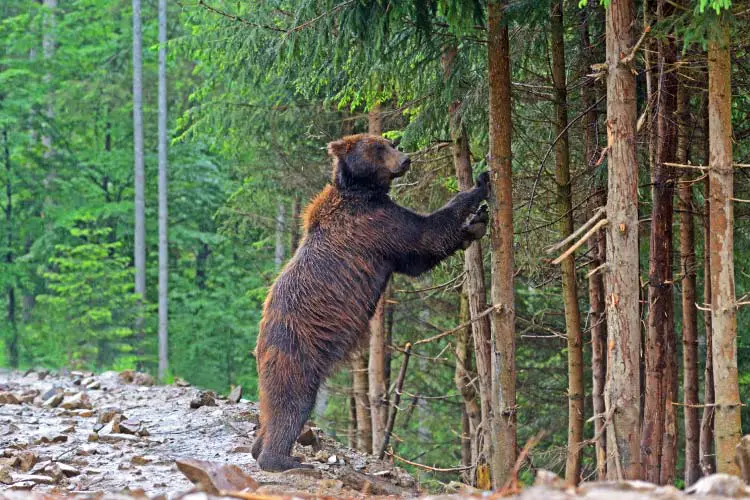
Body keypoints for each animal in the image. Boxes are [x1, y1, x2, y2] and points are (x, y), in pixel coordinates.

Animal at [254, 134, 494, 472]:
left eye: (391, 143)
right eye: (380, 147)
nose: (406, 159)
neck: (363, 190)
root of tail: (261, 341)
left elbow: (418, 256)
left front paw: (476, 222)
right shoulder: (373, 224)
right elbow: (424, 235)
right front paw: (479, 185)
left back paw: (260, 448)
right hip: (296, 349)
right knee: (292, 402)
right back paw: (285, 459)